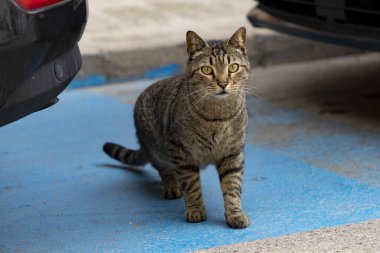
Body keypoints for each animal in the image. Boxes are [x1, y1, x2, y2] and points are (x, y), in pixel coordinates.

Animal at [104, 27, 251, 229]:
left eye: (233, 68)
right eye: (207, 70)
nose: (223, 83)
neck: (217, 117)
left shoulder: (233, 153)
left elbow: (233, 186)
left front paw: (235, 213)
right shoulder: (181, 152)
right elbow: (192, 184)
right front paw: (195, 209)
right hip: (158, 149)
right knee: (164, 169)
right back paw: (172, 185)